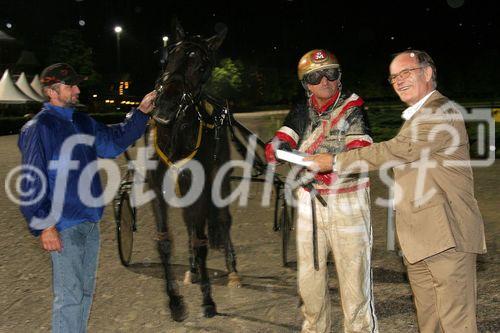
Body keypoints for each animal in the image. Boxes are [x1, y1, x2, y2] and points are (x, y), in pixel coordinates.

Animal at [148, 21, 240, 322]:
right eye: (168, 57)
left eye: (202, 66)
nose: (164, 106)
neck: (177, 133)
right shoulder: (157, 186)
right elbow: (165, 241)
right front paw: (175, 303)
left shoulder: (200, 186)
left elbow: (201, 241)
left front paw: (208, 301)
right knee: (190, 223)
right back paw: (193, 270)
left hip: (220, 178)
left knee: (223, 218)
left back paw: (232, 271)